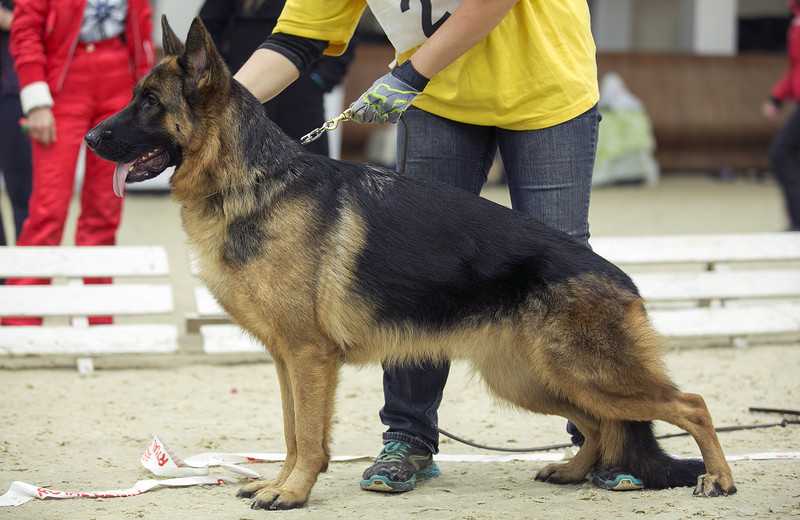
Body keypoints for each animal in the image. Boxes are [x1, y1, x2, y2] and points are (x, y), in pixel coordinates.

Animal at [89, 17, 736, 512]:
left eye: (149, 103)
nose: (91, 138)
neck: (252, 181)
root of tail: (619, 276)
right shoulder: (286, 359)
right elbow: (293, 432)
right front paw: (279, 481)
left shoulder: (308, 357)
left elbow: (309, 437)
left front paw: (293, 493)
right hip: (532, 379)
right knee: (603, 425)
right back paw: (575, 470)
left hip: (584, 373)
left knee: (692, 405)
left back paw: (719, 478)